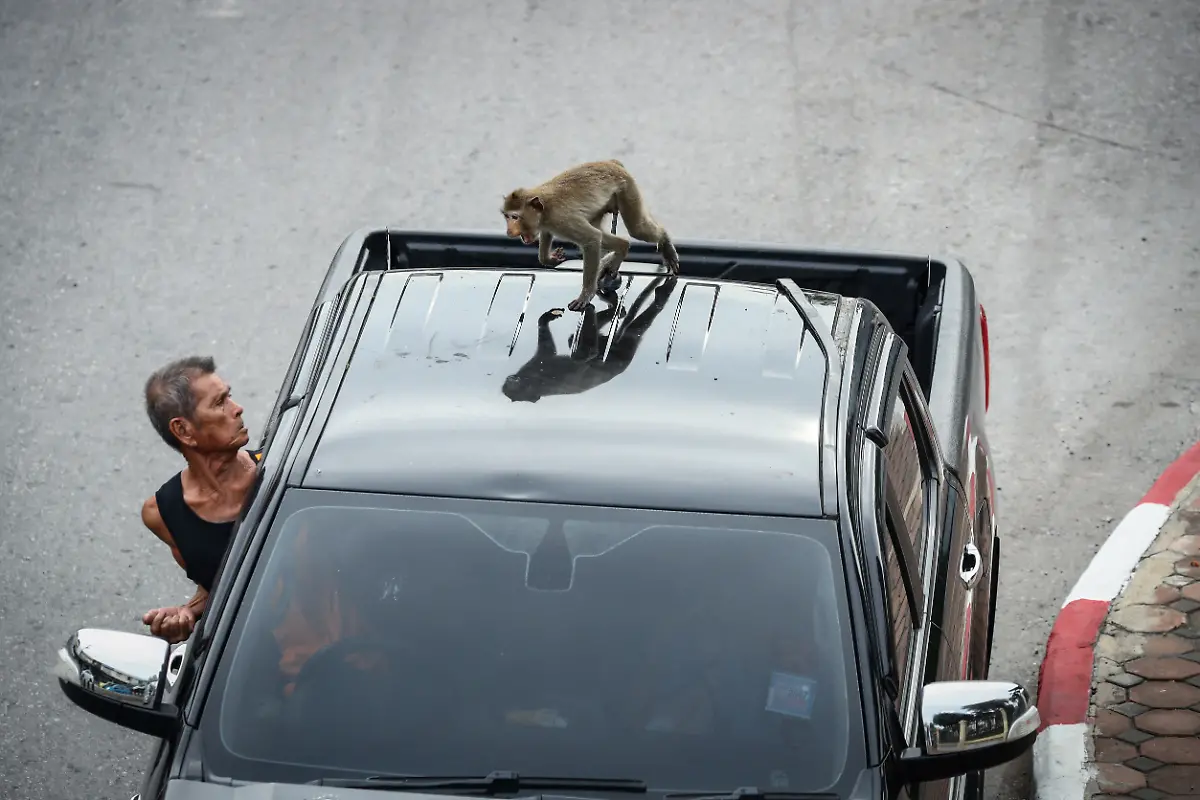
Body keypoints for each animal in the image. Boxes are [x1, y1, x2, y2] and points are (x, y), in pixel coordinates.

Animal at [501, 159, 680, 313]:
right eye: (507, 216)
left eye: (515, 217)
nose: (509, 231)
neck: (545, 210)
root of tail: (612, 162)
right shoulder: (548, 224)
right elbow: (549, 237)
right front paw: (550, 258)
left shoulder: (562, 220)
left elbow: (592, 239)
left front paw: (586, 294)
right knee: (606, 233)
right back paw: (621, 248)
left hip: (626, 189)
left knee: (635, 229)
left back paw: (664, 243)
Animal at [501, 275, 679, 403]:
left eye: (515, 386)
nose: (511, 380)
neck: (534, 382)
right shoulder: (538, 369)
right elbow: (579, 354)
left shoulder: (539, 374)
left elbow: (582, 355)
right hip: (616, 351)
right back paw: (620, 307)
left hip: (619, 354)